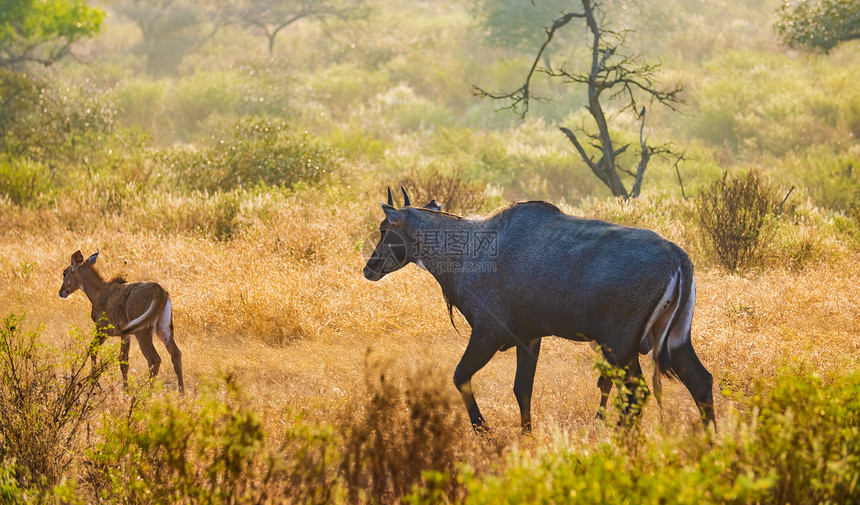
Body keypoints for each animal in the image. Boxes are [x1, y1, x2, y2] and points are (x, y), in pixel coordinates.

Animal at [60, 249, 185, 394]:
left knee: (154, 359)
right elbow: (123, 362)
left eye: (65, 273)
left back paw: (146, 393)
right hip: (164, 328)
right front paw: (125, 391)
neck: (98, 292)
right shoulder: (125, 335)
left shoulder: (102, 330)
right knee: (176, 354)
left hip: (143, 331)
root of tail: (160, 292)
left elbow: (92, 351)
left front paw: (94, 384)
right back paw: (182, 394)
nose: (61, 292)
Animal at [362, 187, 712, 432]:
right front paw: (526, 435)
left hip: (620, 345)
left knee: (637, 393)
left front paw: (485, 432)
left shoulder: (488, 333)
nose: (370, 267)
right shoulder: (529, 338)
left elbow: (460, 376)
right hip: (675, 340)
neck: (470, 248)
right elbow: (522, 389)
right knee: (701, 381)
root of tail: (679, 259)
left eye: (384, 229)